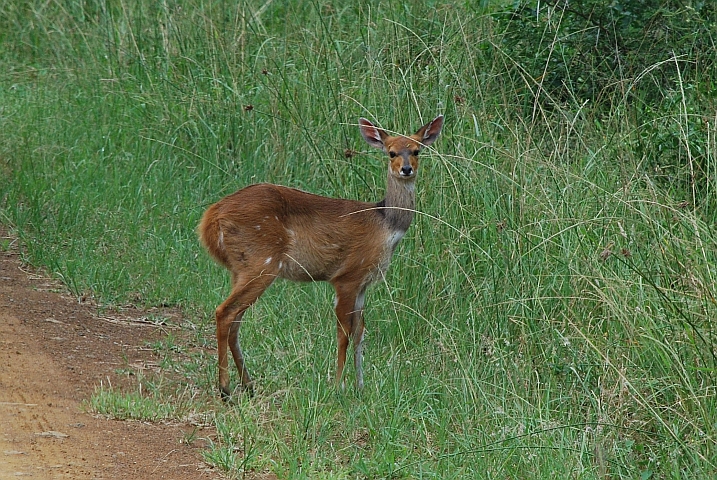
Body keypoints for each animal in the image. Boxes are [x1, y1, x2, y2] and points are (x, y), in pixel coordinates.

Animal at [197, 114, 442, 400]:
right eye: (391, 152)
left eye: (416, 150)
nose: (406, 169)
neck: (385, 226)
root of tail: (211, 218)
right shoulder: (347, 276)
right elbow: (343, 332)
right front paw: (338, 386)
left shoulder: (363, 284)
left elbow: (360, 331)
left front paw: (360, 387)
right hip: (261, 262)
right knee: (225, 312)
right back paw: (225, 388)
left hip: (241, 267)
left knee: (235, 319)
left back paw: (248, 385)